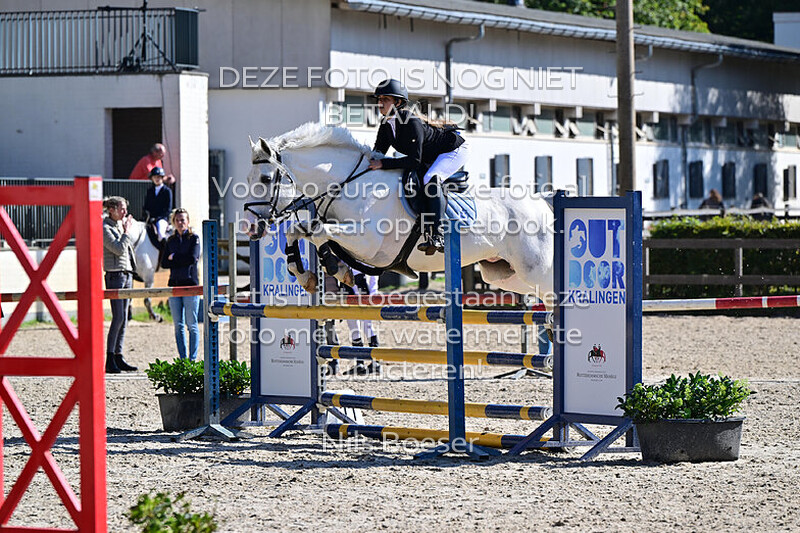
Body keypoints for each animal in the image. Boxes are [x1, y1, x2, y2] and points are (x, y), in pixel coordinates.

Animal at [244, 122, 555, 308]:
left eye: (266, 178)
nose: (250, 227)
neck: (348, 183)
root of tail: (543, 206)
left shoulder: (369, 244)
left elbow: (319, 233)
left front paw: (334, 268)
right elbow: (298, 231)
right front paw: (308, 275)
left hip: (536, 269)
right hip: (503, 273)